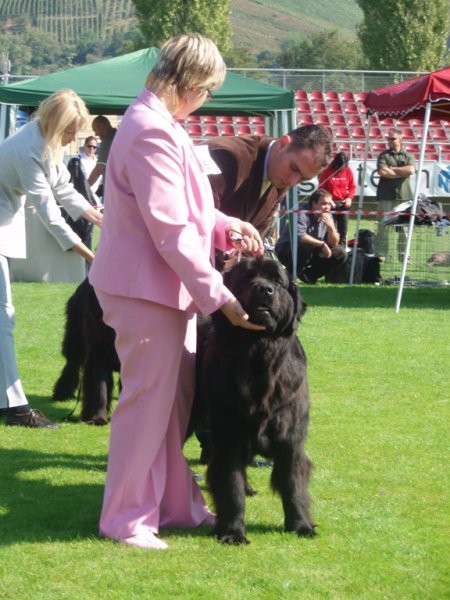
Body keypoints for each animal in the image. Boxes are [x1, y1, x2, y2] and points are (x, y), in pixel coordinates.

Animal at [197, 255, 316, 548]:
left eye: (277, 281)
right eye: (247, 278)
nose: (265, 290)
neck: (260, 354)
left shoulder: (291, 439)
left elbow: (293, 484)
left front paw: (301, 525)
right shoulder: (230, 436)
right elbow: (231, 485)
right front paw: (232, 532)